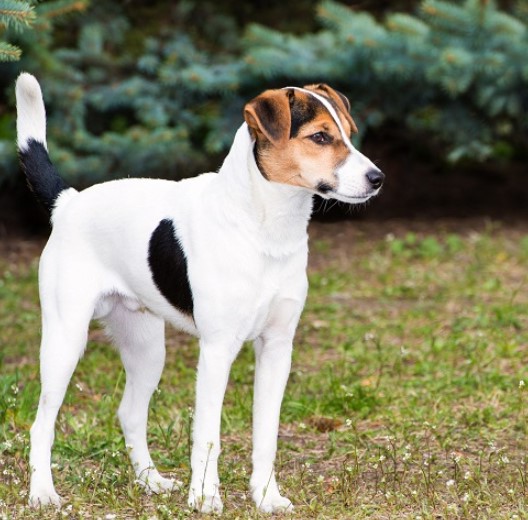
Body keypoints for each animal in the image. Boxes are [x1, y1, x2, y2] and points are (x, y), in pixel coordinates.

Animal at [14, 72, 382, 512]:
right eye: (321, 137)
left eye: (349, 134)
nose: (377, 178)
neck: (263, 228)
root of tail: (68, 203)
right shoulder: (217, 350)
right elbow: (207, 435)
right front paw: (205, 496)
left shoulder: (278, 347)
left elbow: (267, 434)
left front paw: (266, 495)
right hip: (64, 341)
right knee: (41, 424)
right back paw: (42, 491)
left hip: (146, 349)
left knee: (130, 414)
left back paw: (151, 481)